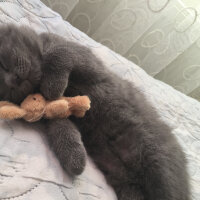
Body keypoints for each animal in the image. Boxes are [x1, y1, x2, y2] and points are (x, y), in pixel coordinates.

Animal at [0, 24, 191, 200]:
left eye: (3, 64)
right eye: (5, 90)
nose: (12, 81)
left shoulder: (87, 61)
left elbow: (60, 52)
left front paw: (53, 84)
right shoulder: (56, 115)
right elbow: (63, 130)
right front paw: (74, 160)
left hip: (159, 165)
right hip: (127, 185)